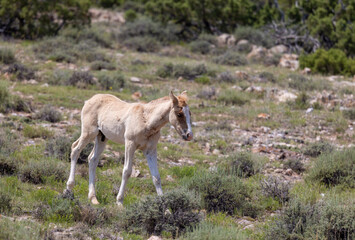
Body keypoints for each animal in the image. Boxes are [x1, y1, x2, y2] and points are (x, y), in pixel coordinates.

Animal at [62, 91, 193, 207]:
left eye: (190, 113)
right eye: (179, 113)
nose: (189, 135)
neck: (146, 119)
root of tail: (88, 100)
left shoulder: (150, 150)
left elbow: (156, 177)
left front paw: (165, 208)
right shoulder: (130, 144)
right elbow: (127, 171)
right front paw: (119, 202)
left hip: (101, 137)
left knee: (92, 159)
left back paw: (93, 198)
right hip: (89, 133)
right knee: (75, 149)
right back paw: (69, 188)